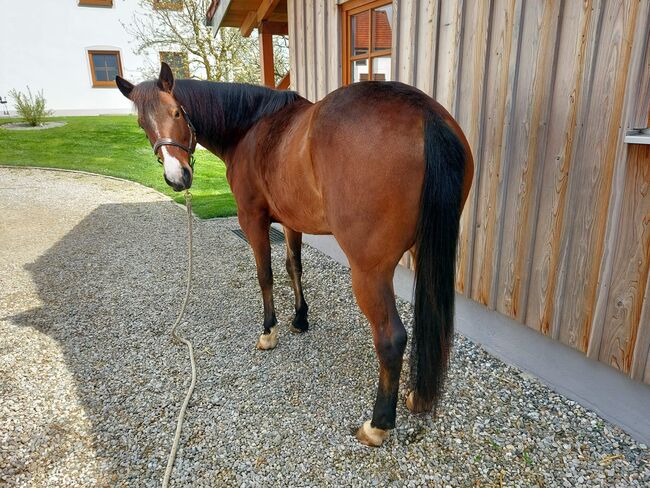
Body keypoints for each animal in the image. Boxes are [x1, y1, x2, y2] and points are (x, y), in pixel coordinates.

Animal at [115, 63, 470, 446]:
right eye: (142, 124)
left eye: (177, 113)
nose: (177, 177)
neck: (250, 127)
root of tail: (424, 112)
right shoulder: (289, 221)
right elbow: (293, 267)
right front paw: (300, 318)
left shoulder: (252, 219)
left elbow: (265, 275)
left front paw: (269, 331)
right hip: (425, 254)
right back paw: (419, 397)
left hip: (369, 271)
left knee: (391, 339)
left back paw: (378, 425)